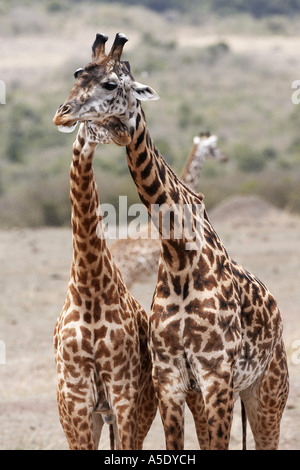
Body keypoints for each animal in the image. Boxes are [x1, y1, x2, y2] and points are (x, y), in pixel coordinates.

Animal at [52, 114, 157, 452]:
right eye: (95, 116)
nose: (124, 133)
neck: (89, 285)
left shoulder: (123, 389)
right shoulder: (77, 398)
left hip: (142, 406)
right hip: (73, 413)